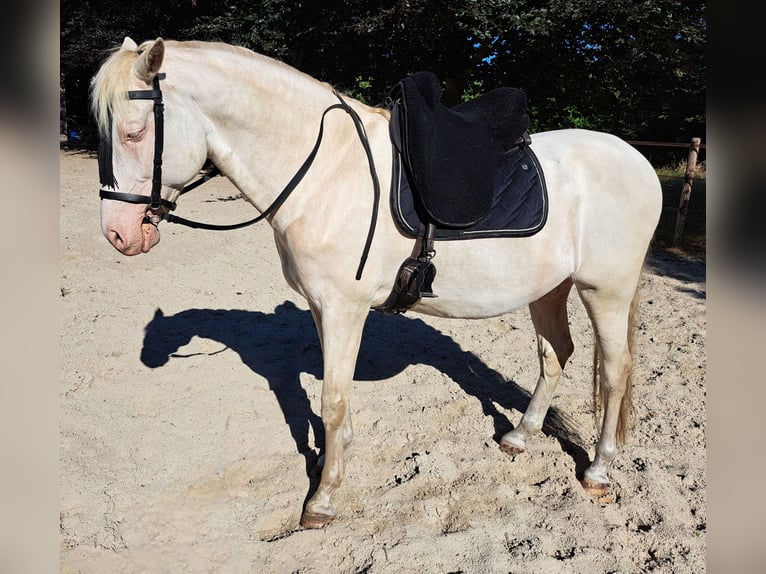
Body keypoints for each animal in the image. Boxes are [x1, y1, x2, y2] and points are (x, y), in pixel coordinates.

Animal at [90, 37, 662, 529]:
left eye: (134, 133)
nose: (118, 234)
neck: (324, 170)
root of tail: (636, 158)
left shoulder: (344, 307)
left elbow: (332, 399)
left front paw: (323, 499)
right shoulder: (322, 308)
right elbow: (334, 397)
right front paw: (336, 460)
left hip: (606, 291)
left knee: (614, 372)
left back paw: (598, 470)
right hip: (549, 289)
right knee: (555, 355)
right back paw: (520, 436)